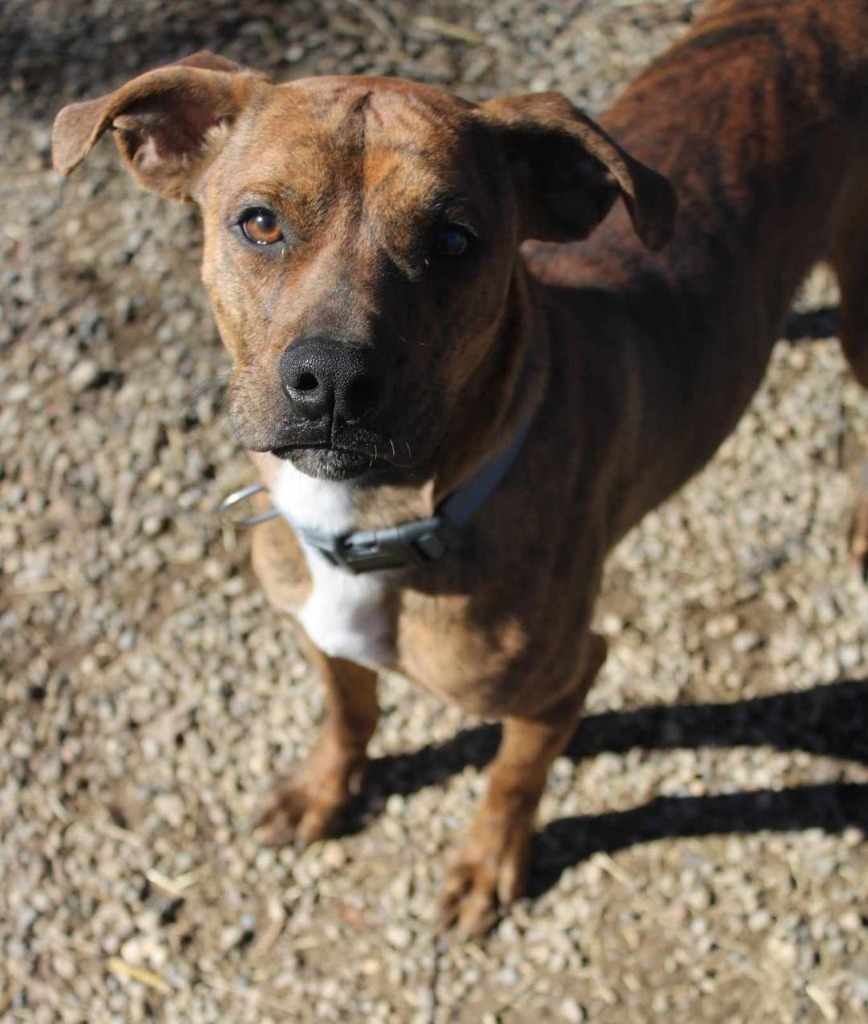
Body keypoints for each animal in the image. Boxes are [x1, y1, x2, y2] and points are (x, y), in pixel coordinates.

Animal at [50, 0, 863, 933]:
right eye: (259, 221)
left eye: (453, 241)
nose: (333, 379)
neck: (379, 517)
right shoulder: (321, 634)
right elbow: (349, 711)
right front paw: (325, 789)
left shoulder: (562, 684)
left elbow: (511, 778)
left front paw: (486, 864)